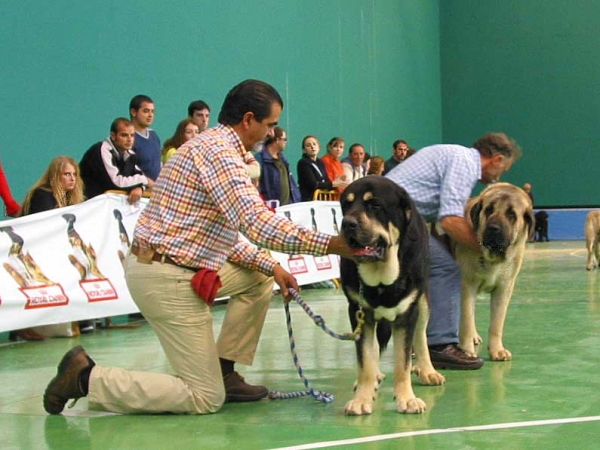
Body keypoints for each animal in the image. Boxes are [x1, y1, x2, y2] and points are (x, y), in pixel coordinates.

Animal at [338, 175, 446, 414]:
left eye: (375, 205)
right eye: (346, 205)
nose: (347, 223)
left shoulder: (407, 313)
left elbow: (402, 362)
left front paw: (407, 399)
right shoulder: (359, 312)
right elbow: (365, 358)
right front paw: (362, 399)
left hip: (423, 302)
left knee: (421, 336)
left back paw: (428, 371)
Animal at [454, 181, 536, 360]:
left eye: (511, 214)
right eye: (488, 210)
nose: (493, 228)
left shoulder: (503, 289)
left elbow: (496, 323)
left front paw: (497, 350)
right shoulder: (467, 285)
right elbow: (466, 320)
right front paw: (467, 351)